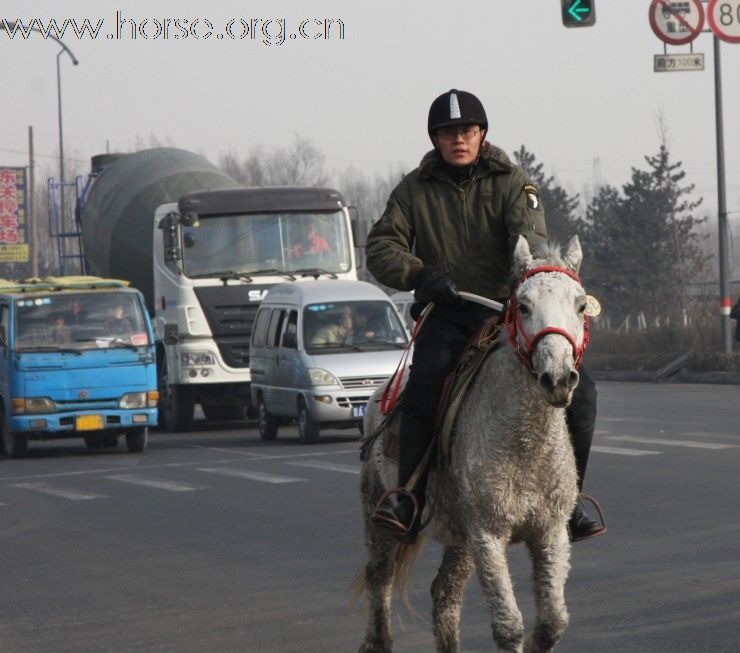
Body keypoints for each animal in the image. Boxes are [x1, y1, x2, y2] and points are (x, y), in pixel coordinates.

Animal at [356, 236, 588, 652]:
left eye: (580, 305)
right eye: (523, 306)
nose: (559, 378)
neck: (525, 445)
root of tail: (378, 395)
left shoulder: (551, 534)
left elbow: (552, 623)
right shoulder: (488, 536)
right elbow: (509, 626)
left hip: (459, 537)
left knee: (444, 593)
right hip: (379, 515)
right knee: (378, 577)